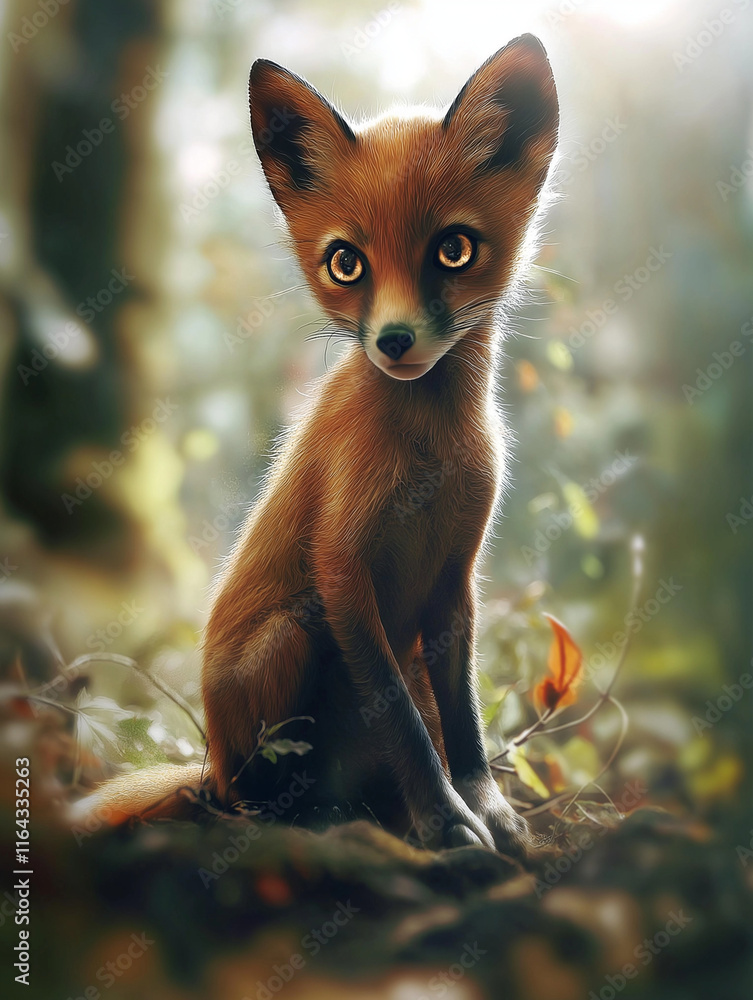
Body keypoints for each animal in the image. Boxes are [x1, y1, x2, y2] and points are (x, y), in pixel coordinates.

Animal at [71, 34, 559, 857]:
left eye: (453, 251)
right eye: (346, 263)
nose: (392, 341)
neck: (430, 454)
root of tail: (209, 757)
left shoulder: (456, 573)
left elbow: (462, 718)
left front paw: (484, 806)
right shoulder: (340, 566)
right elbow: (400, 718)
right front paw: (444, 822)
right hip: (293, 632)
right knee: (246, 798)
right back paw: (306, 817)